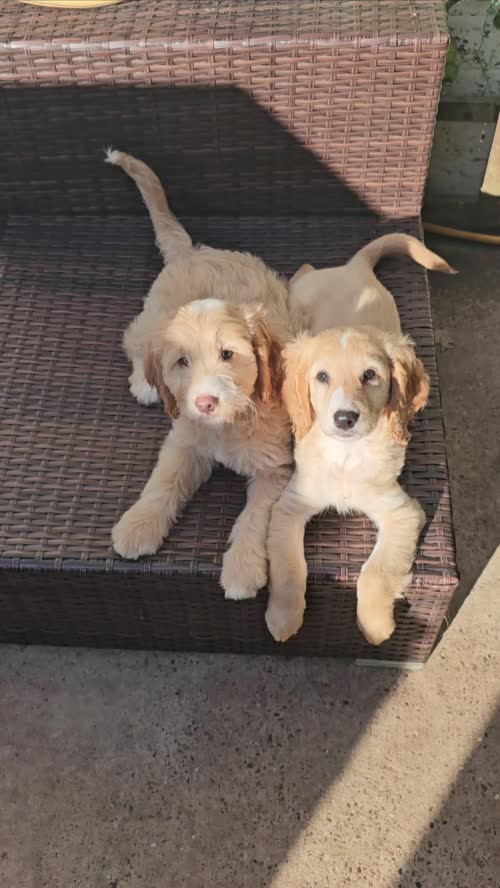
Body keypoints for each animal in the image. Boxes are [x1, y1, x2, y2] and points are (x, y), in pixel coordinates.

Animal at [106, 149, 292, 600]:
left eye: (228, 354)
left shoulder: (275, 469)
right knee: (134, 341)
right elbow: (164, 482)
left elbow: (256, 518)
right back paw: (144, 383)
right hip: (152, 317)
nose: (205, 402)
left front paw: (243, 568)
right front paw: (137, 527)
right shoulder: (183, 438)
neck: (228, 424)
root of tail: (192, 250)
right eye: (182, 363)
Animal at [268, 234, 456, 644]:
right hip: (302, 295)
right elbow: (289, 567)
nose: (344, 418)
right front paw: (283, 618)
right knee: (302, 275)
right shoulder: (289, 507)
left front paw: (374, 624)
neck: (346, 453)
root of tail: (355, 265)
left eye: (370, 375)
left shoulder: (403, 512)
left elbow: (376, 571)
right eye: (321, 377)